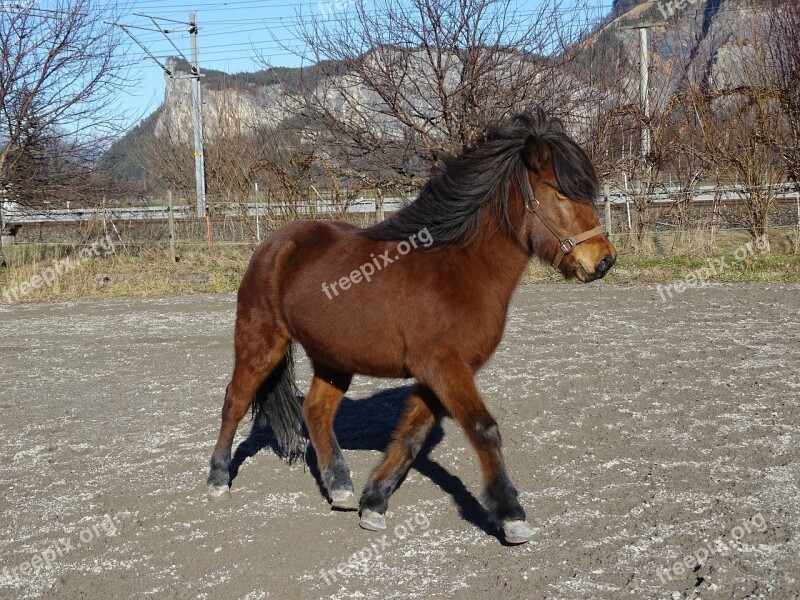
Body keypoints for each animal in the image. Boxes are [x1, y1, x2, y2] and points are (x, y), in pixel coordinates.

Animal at [208, 109, 620, 544]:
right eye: (561, 193)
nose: (604, 260)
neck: (459, 269)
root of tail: (275, 242)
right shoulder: (443, 366)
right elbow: (483, 429)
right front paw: (511, 515)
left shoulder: (440, 372)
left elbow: (411, 435)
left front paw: (374, 504)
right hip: (260, 342)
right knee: (235, 400)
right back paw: (218, 480)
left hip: (333, 359)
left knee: (316, 411)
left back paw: (341, 488)